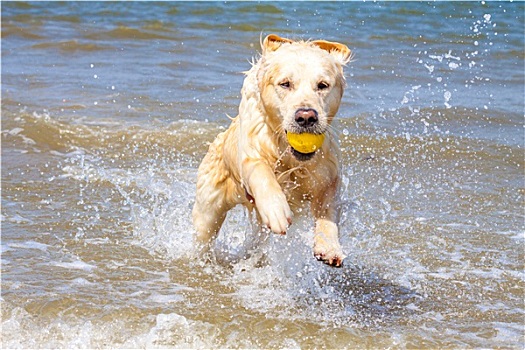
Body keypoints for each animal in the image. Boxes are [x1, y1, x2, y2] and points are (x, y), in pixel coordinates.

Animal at [190, 34, 350, 266]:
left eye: (322, 85)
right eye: (285, 84)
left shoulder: (328, 174)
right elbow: (261, 173)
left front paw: (329, 246)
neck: (289, 156)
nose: (306, 117)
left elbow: (328, 209)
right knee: (203, 233)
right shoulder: (252, 151)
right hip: (208, 208)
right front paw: (276, 210)